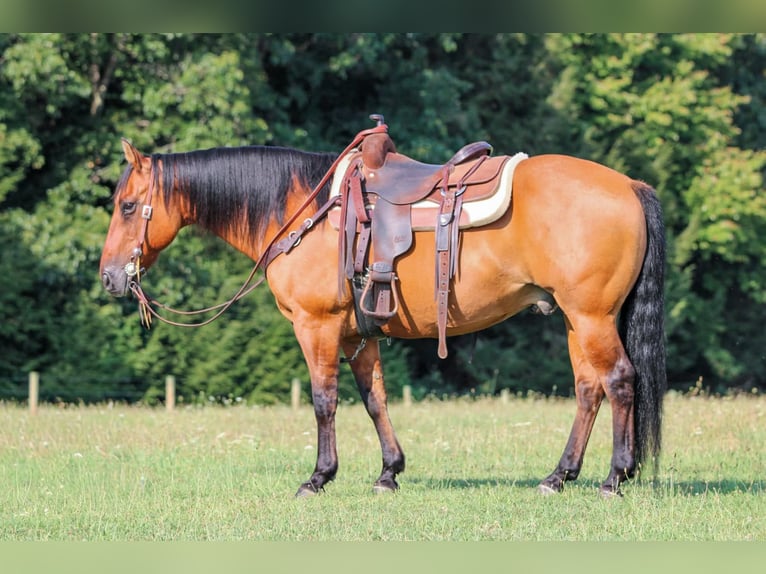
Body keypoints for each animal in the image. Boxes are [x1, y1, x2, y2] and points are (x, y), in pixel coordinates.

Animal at [99, 124, 666, 498]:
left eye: (127, 206)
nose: (109, 277)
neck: (302, 209)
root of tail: (629, 186)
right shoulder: (360, 333)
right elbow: (375, 400)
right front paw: (389, 472)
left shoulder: (317, 326)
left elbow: (323, 400)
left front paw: (318, 477)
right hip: (575, 318)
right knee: (589, 389)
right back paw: (558, 476)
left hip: (591, 316)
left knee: (619, 381)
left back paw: (614, 477)